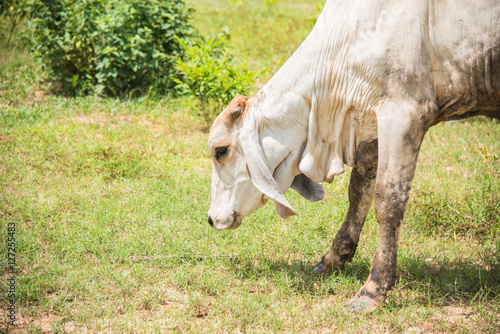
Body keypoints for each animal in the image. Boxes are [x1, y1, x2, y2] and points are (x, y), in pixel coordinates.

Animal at [206, 0, 500, 310]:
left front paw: (374, 288)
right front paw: (334, 259)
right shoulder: (368, 124)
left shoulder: (405, 113)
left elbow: (388, 201)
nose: (211, 219)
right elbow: (358, 193)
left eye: (220, 150)